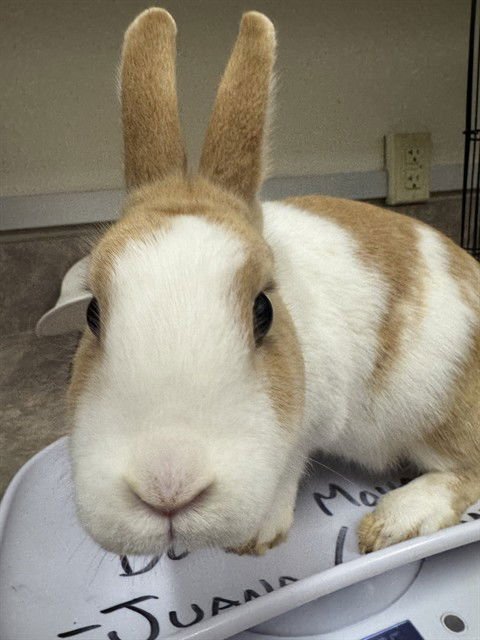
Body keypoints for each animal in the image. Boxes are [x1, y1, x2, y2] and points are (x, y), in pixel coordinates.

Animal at [68, 7, 480, 557]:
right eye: (92, 313)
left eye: (262, 311)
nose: (168, 485)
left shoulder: (315, 416)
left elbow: (292, 459)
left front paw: (257, 537)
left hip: (433, 406)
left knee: (467, 467)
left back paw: (394, 521)